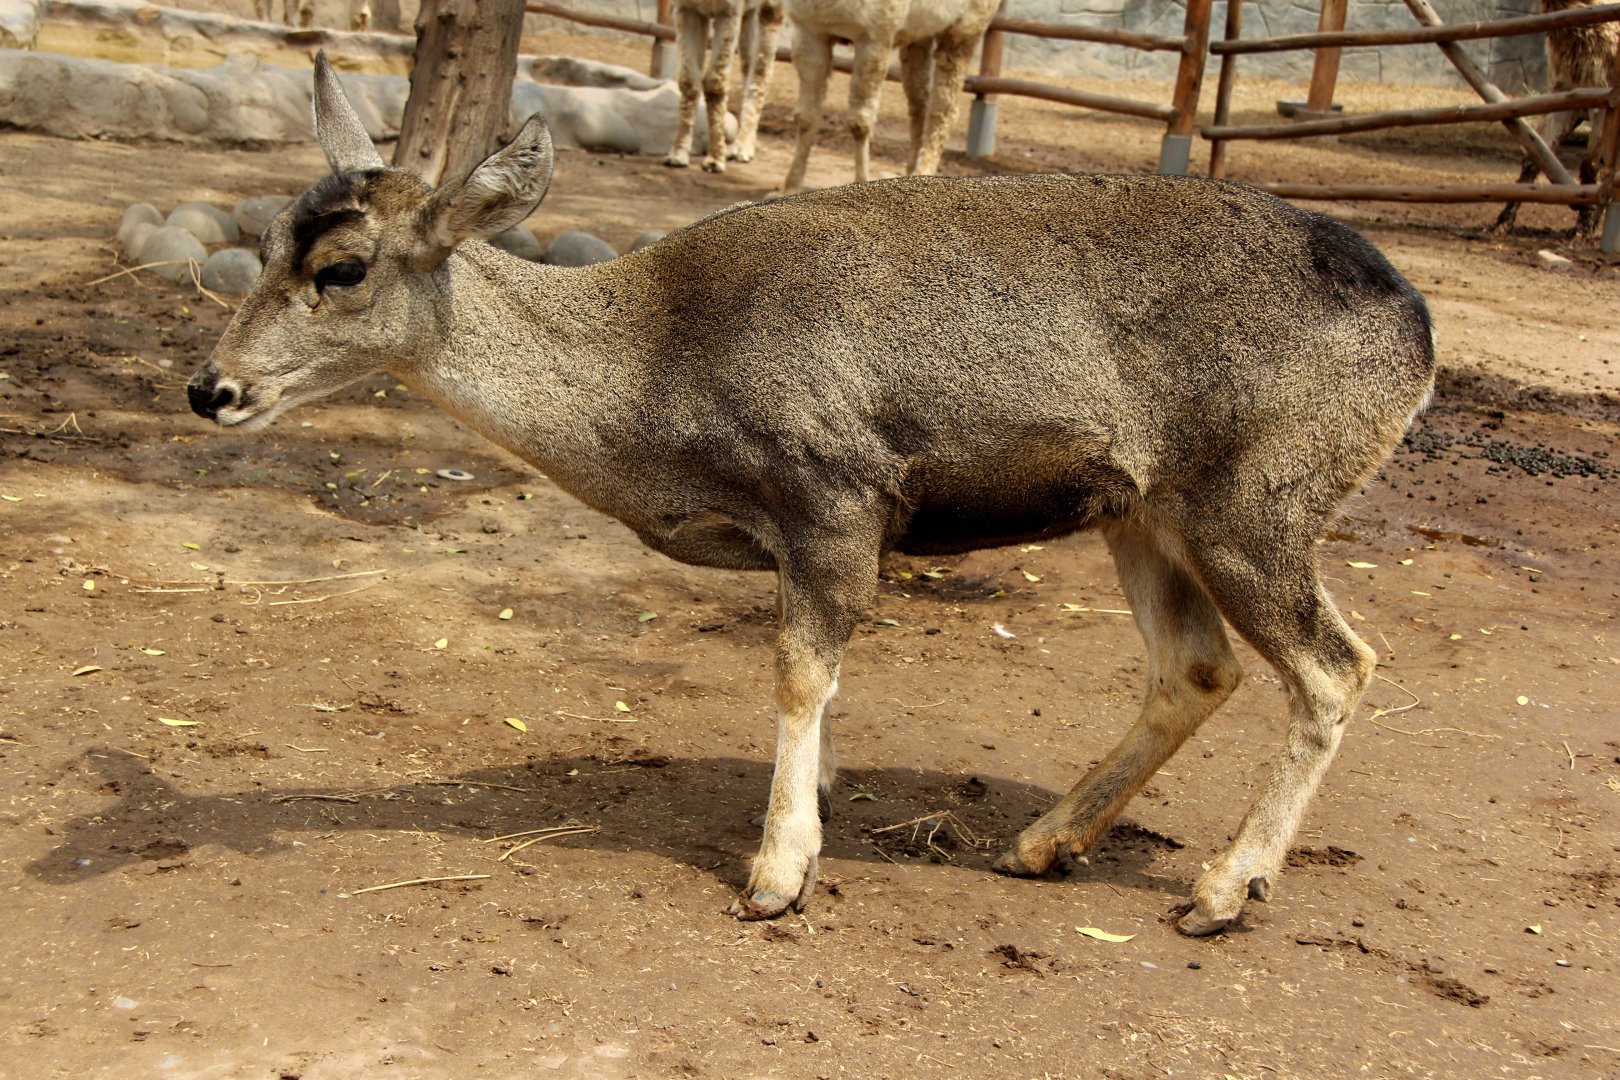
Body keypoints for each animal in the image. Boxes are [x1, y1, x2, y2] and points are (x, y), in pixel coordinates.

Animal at [188, 54, 1436, 935]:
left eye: (343, 267)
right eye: (267, 231)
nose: (213, 387)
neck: (656, 385)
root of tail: (1415, 330)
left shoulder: (836, 493)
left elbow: (798, 670)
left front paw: (779, 871)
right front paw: (820, 804)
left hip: (1259, 498)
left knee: (1337, 664)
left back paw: (1223, 890)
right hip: (1146, 513)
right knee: (1196, 666)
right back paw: (1043, 843)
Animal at [664, 0, 786, 172]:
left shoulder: (729, 11)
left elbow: (715, 81)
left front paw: (715, 160)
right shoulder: (687, 9)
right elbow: (689, 81)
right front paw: (677, 155)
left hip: (771, 8)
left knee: (761, 71)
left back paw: (743, 149)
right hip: (749, 14)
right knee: (749, 67)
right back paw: (739, 148)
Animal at [776, 0, 1000, 194]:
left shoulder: (875, 37)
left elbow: (859, 123)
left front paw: (861, 183)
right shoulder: (810, 32)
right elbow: (806, 118)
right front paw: (791, 188)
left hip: (965, 29)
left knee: (943, 109)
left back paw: (924, 171)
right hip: (919, 37)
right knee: (919, 103)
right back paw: (913, 175)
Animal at [1493, 0, 1620, 237]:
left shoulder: (1604, 94)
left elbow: (1593, 164)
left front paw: (1584, 230)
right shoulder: (1569, 91)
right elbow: (1536, 156)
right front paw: (1502, 222)